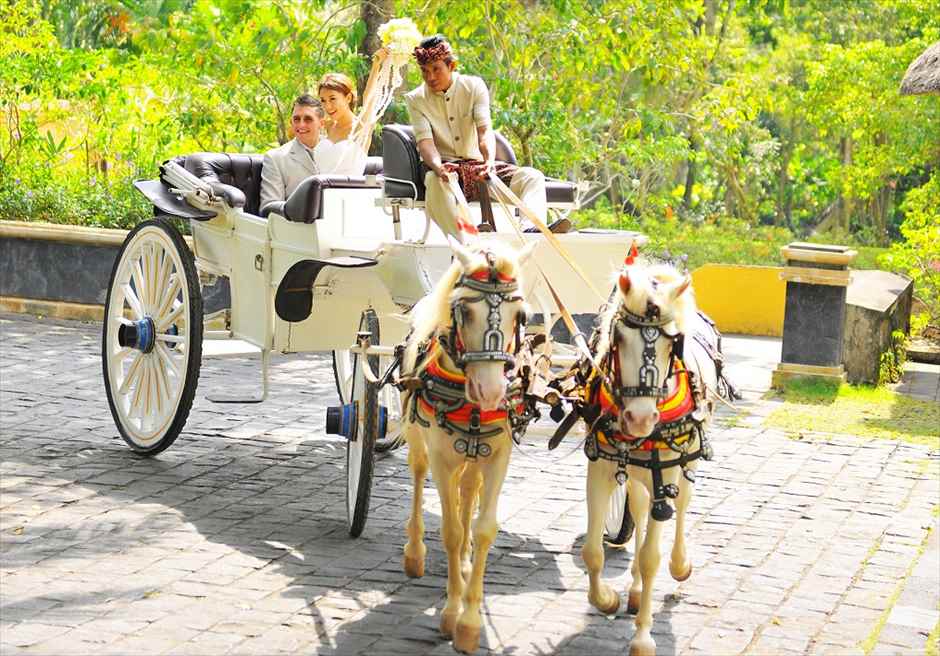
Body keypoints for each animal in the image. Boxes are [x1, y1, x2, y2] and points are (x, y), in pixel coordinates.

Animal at [400, 238, 536, 652]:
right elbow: (451, 530)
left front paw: (470, 620)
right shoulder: (442, 457)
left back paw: (462, 562)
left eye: (519, 314)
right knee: (418, 474)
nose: (491, 391)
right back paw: (415, 553)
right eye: (464, 310)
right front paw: (450, 613)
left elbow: (483, 528)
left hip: (475, 454)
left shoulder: (499, 456)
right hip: (418, 438)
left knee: (468, 490)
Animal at [580, 260, 728, 656]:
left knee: (680, 507)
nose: (641, 419)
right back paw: (632, 591)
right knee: (638, 506)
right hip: (633, 472)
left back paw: (679, 564)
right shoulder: (600, 468)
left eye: (671, 342)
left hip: (684, 463)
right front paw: (607, 599)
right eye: (618, 338)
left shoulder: (667, 473)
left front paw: (643, 637)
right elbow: (592, 551)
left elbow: (650, 558)